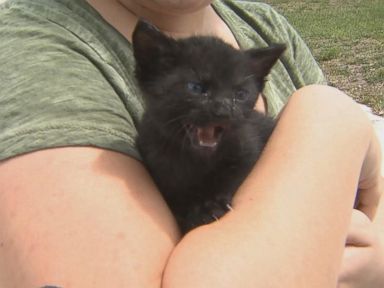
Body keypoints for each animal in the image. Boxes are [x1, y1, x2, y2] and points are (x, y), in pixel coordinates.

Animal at [132, 19, 284, 233]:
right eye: (196, 88)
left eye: (240, 94)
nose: (224, 110)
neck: (195, 161)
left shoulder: (249, 148)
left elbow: (233, 176)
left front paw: (210, 205)